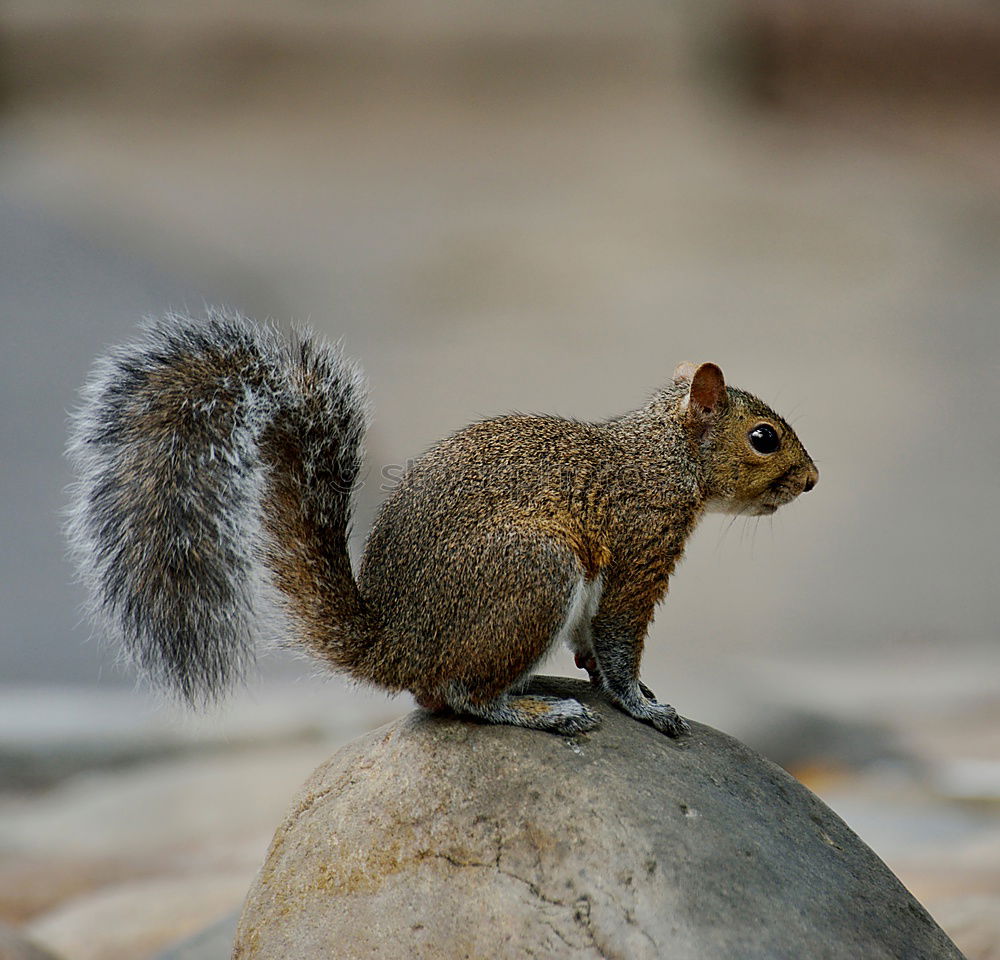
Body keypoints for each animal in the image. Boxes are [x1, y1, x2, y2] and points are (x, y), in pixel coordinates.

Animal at [70, 312, 820, 740]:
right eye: (763, 438)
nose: (813, 481)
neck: (667, 456)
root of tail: (395, 648)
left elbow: (591, 645)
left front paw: (619, 686)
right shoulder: (641, 548)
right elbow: (617, 642)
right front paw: (641, 705)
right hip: (533, 572)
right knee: (459, 697)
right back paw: (539, 713)